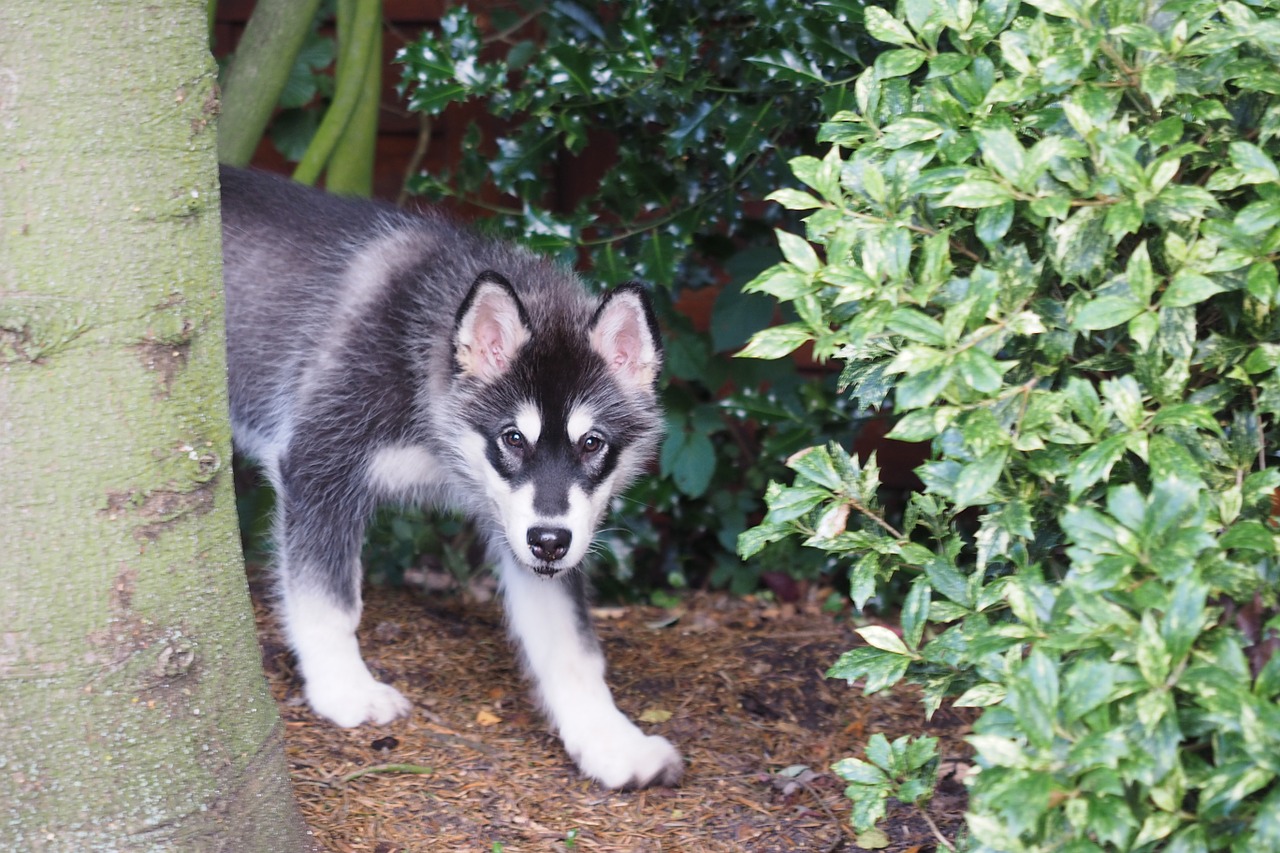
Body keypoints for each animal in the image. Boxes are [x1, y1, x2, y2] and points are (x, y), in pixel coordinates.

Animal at [216, 163, 686, 783]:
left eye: (592, 443)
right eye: (512, 438)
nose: (551, 543)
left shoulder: (525, 526)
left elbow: (572, 646)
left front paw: (609, 740)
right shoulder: (320, 463)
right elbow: (330, 600)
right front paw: (345, 691)